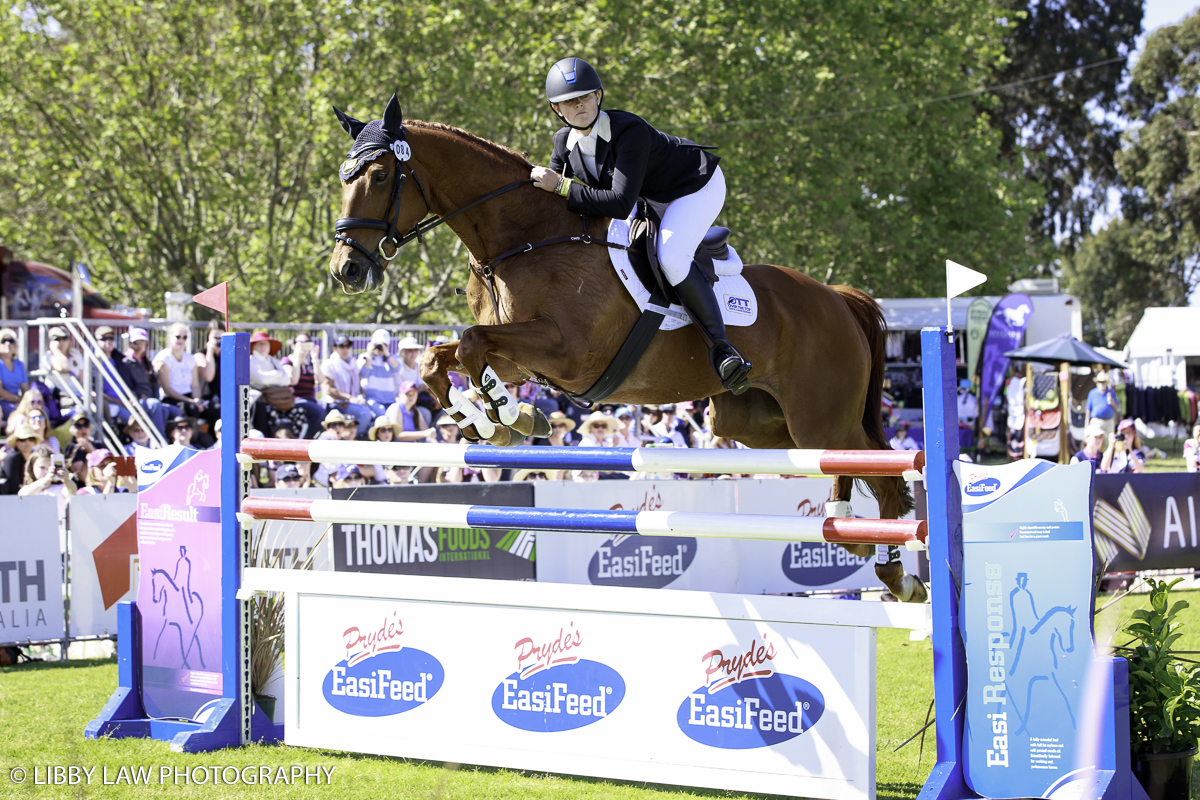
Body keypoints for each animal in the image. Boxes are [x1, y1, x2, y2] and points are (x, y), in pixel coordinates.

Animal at [328, 98, 926, 599]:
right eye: (343, 177)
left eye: (379, 175)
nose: (346, 270)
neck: (523, 238)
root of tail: (838, 298)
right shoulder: (519, 356)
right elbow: (442, 358)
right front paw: (492, 421)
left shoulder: (567, 353)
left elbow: (473, 348)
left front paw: (507, 415)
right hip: (757, 424)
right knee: (859, 461)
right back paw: (873, 551)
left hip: (818, 415)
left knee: (878, 465)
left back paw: (888, 565)